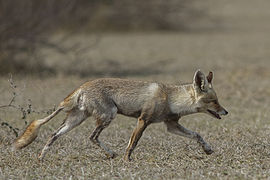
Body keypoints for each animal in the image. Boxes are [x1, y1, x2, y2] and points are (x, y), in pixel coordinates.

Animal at [13, 69, 228, 161]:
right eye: (214, 101)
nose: (226, 112)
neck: (170, 98)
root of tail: (82, 86)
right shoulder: (144, 120)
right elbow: (132, 144)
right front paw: (126, 161)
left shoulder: (171, 125)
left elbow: (197, 135)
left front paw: (207, 149)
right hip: (109, 115)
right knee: (92, 137)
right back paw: (111, 154)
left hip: (76, 120)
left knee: (53, 135)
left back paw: (41, 157)